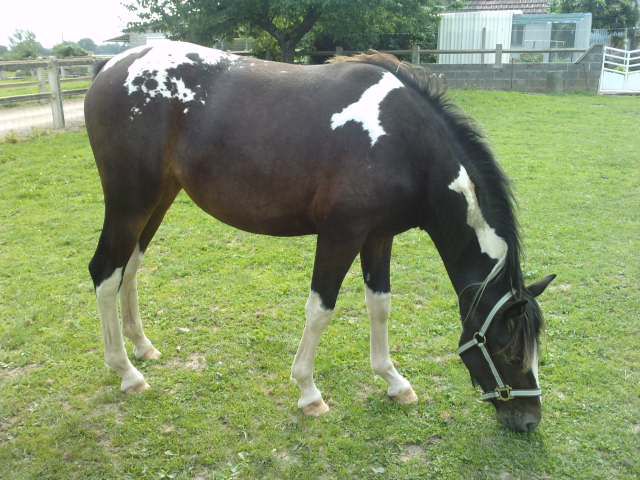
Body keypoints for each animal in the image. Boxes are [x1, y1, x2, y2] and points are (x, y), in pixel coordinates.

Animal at [85, 41, 555, 433]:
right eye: (510, 350)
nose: (529, 420)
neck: (402, 141)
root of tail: (112, 65)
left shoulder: (379, 236)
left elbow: (380, 306)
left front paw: (394, 381)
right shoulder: (340, 235)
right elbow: (320, 310)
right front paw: (309, 392)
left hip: (158, 199)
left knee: (131, 269)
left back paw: (142, 347)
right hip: (130, 201)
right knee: (105, 272)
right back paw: (127, 372)